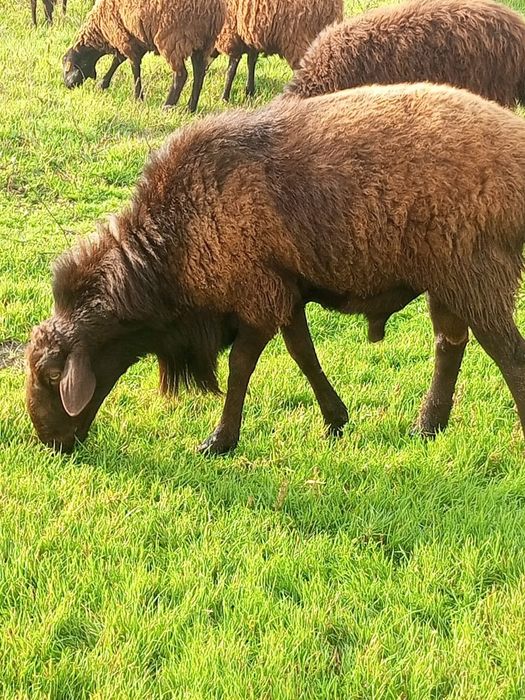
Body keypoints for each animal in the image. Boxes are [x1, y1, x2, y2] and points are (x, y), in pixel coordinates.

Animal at [26, 83, 525, 455]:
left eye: (51, 376)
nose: (51, 443)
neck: (170, 247)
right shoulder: (284, 288)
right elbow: (304, 354)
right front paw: (335, 420)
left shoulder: (257, 293)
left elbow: (241, 366)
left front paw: (220, 441)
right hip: (448, 274)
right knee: (450, 345)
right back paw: (428, 426)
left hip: (475, 269)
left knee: (508, 352)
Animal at [62, 0, 226, 112]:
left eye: (66, 69)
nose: (67, 86)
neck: (100, 31)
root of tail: (208, 10)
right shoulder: (132, 37)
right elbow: (118, 60)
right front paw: (103, 84)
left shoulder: (123, 36)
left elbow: (134, 68)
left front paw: (138, 98)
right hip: (202, 43)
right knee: (199, 74)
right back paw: (190, 107)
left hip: (173, 38)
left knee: (181, 75)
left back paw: (167, 106)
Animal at [214, 0, 343, 101]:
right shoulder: (250, 38)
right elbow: (251, 63)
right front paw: (250, 93)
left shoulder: (233, 36)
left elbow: (231, 69)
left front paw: (224, 98)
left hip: (300, 41)